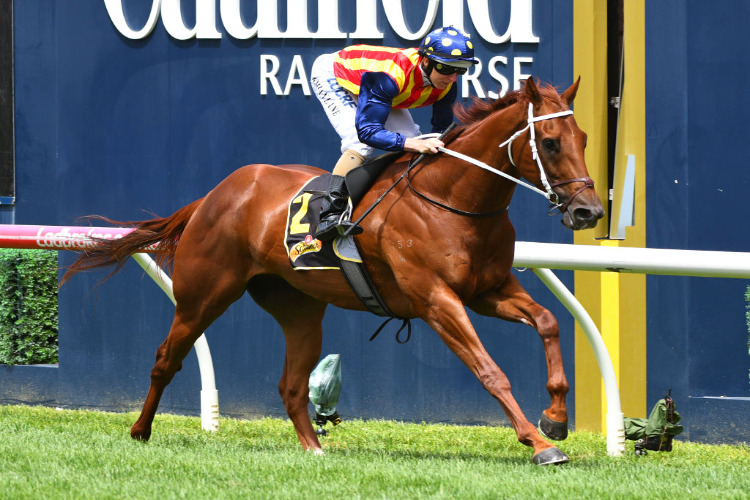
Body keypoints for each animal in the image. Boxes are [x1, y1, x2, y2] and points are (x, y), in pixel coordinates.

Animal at [62, 77, 604, 465]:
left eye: (582, 137)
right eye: (550, 142)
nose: (589, 212)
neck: (454, 199)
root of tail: (216, 194)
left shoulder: (487, 289)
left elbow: (549, 322)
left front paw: (556, 419)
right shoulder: (436, 299)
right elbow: (491, 372)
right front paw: (539, 443)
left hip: (300, 310)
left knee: (291, 384)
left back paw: (315, 449)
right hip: (204, 295)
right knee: (165, 358)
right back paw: (140, 430)